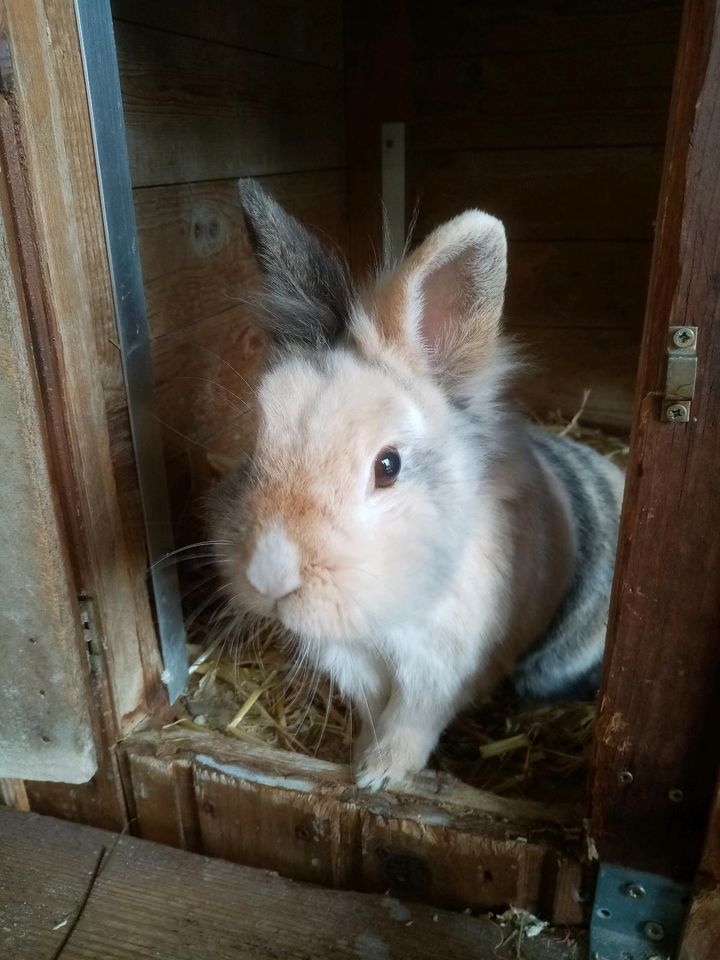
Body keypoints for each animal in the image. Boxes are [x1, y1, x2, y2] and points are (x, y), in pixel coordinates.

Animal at [208, 178, 624, 788]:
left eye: (388, 466)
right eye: (258, 438)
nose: (269, 575)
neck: (387, 612)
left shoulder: (443, 669)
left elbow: (411, 722)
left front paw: (378, 775)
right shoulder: (355, 664)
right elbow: (373, 710)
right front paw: (360, 756)